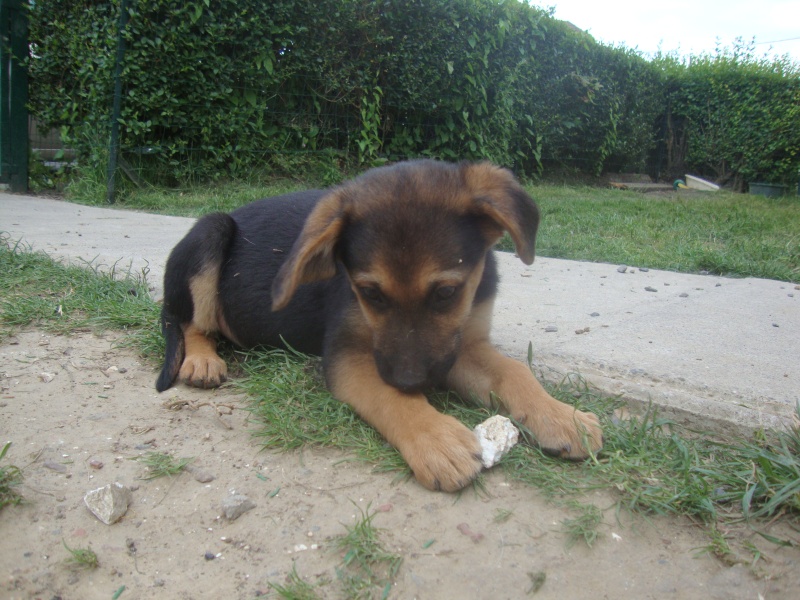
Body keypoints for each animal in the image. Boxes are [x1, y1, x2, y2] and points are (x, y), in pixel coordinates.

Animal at [156, 161, 604, 492]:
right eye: (369, 293)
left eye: (446, 293)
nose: (414, 382)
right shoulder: (347, 356)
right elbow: (391, 398)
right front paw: (437, 439)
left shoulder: (460, 345)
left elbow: (515, 371)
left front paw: (561, 416)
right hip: (209, 231)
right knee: (190, 321)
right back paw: (202, 361)